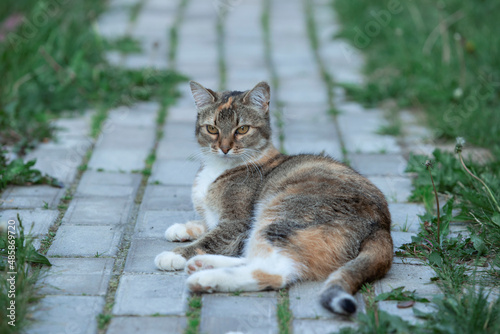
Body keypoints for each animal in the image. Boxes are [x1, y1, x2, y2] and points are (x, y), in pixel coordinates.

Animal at [154, 81, 392, 316]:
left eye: (242, 129)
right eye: (212, 129)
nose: (224, 148)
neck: (219, 168)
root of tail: (382, 226)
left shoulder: (237, 223)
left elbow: (210, 239)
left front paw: (176, 255)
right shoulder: (221, 221)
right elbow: (207, 226)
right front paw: (182, 228)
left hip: (279, 217)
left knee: (275, 271)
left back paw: (204, 277)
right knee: (254, 258)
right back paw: (203, 264)